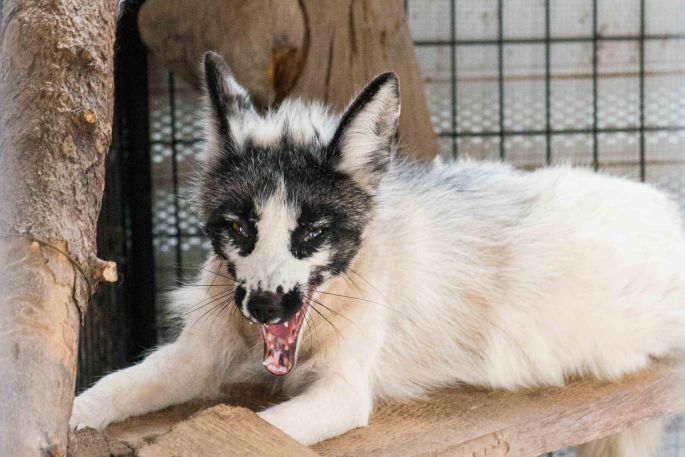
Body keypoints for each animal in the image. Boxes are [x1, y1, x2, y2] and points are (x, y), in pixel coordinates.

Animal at [71, 51, 685, 456]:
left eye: (312, 232)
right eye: (240, 227)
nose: (266, 308)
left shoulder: (345, 392)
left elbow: (267, 430)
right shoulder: (195, 355)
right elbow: (109, 388)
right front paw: (67, 417)